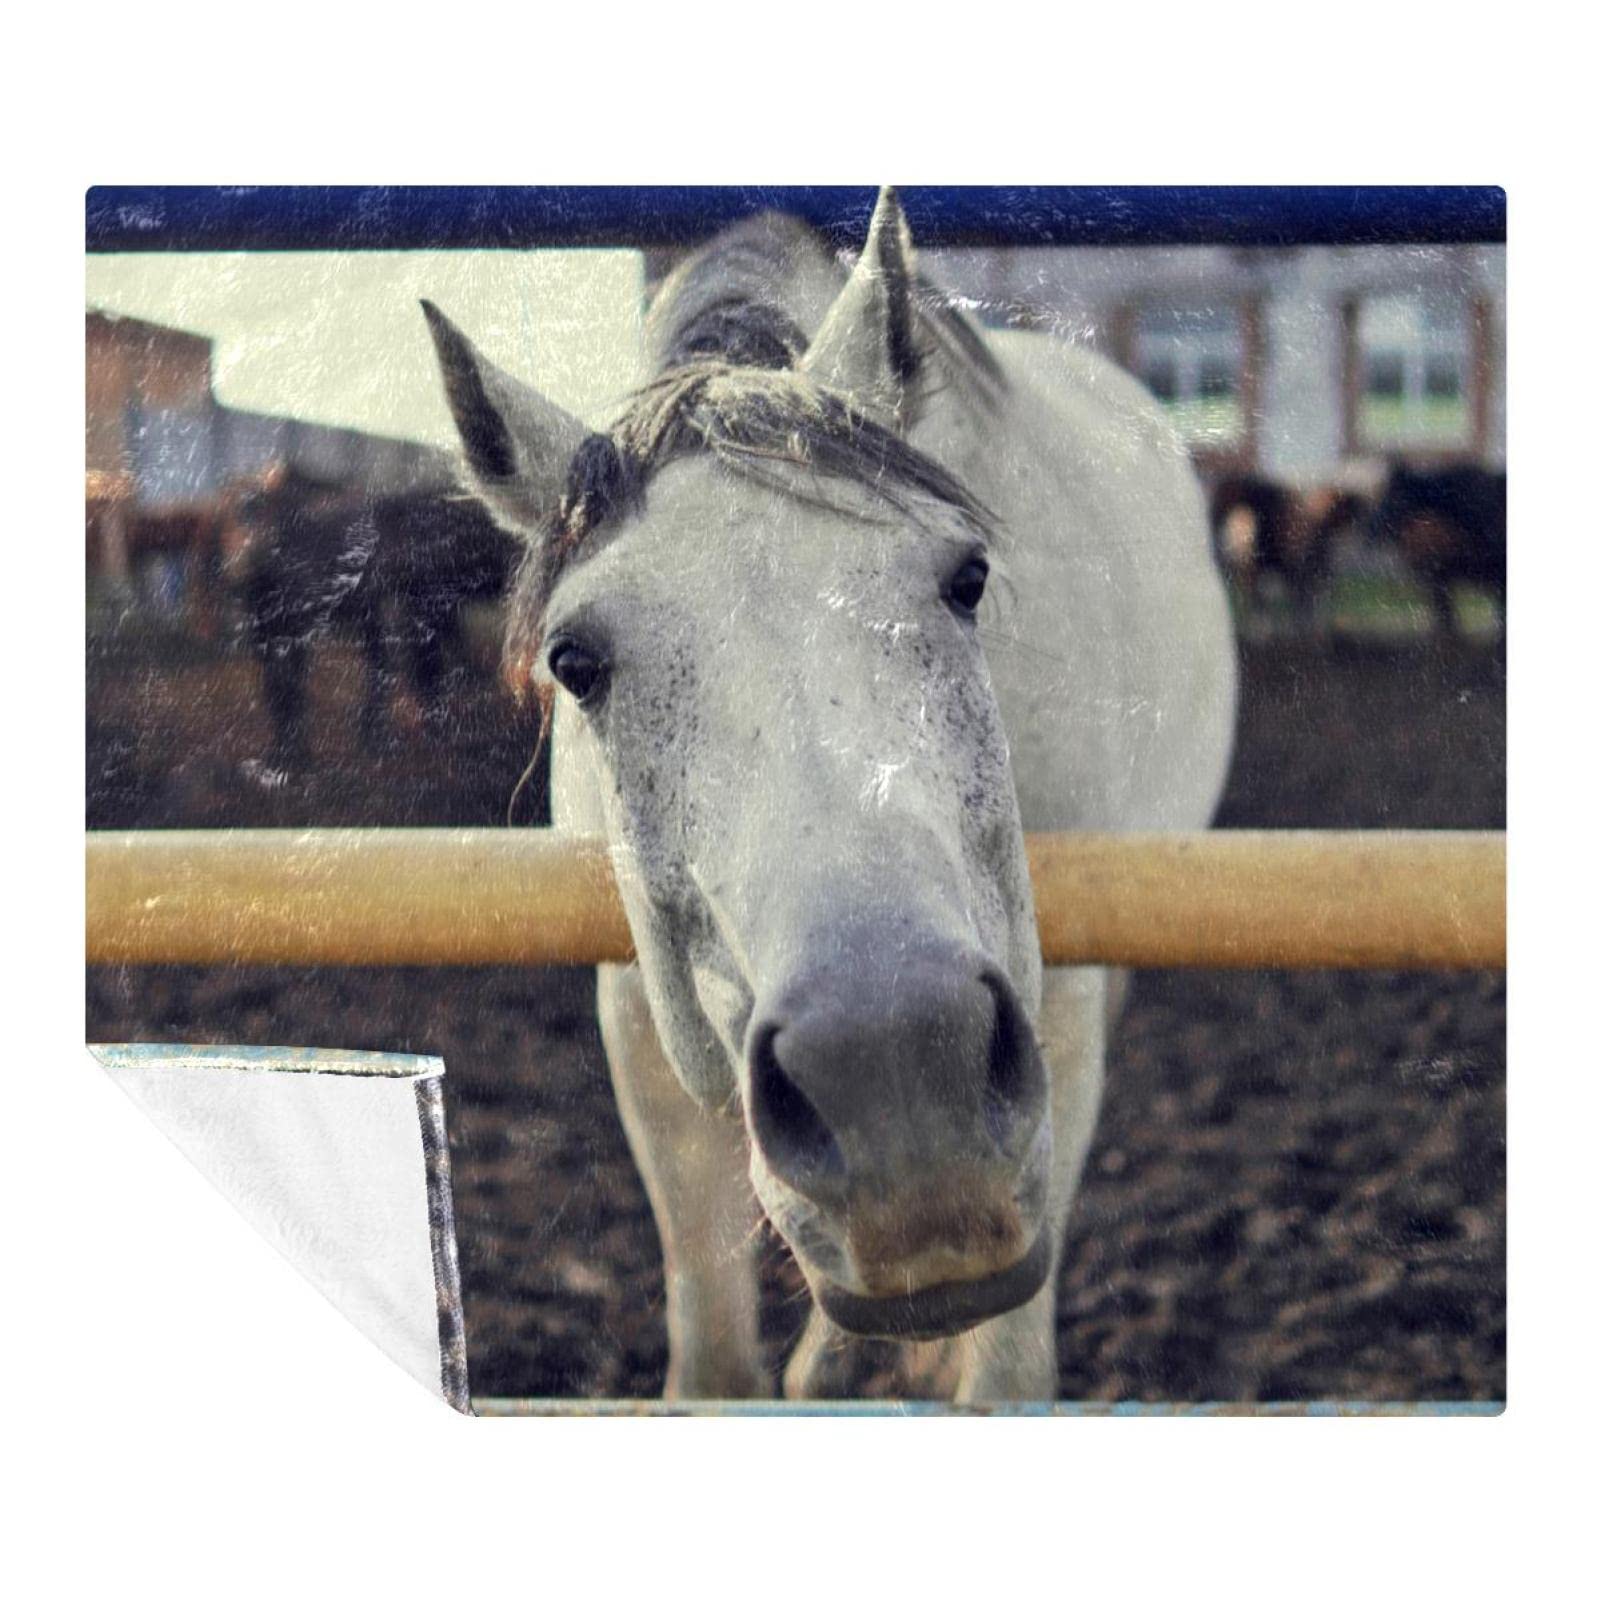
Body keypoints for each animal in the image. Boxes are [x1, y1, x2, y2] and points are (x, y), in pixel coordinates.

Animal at [424, 189, 1237, 1402]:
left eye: (966, 579)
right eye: (575, 661)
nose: (896, 1082)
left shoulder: (1064, 1007)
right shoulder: (644, 1027)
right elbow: (716, 1367)